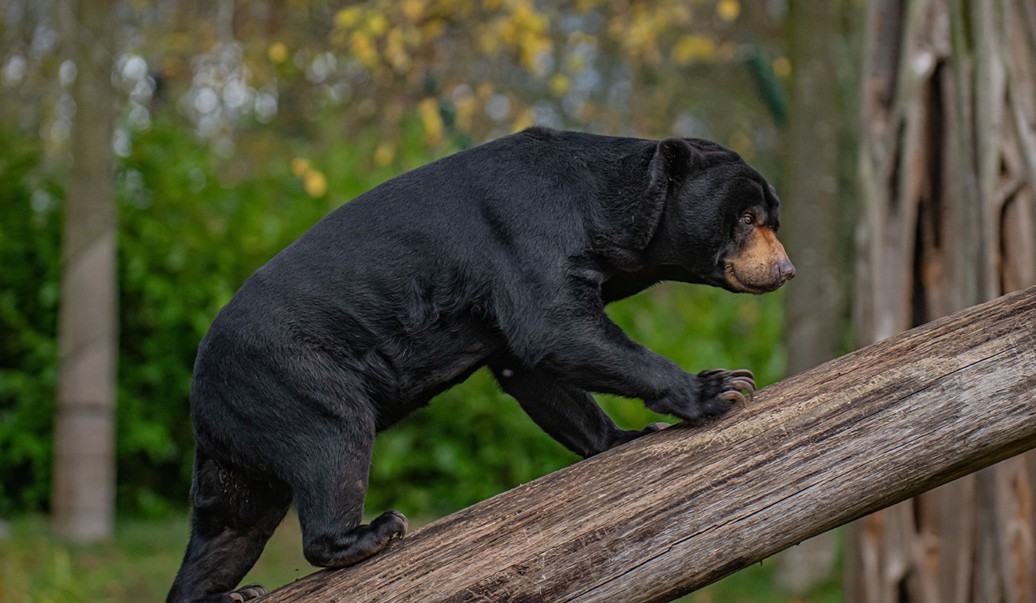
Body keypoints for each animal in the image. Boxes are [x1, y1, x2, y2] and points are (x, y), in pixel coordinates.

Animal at [166, 127, 794, 603]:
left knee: (231, 527)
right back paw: (372, 533)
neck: (610, 211)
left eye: (773, 221)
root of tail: (201, 392)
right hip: (293, 381)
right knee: (335, 443)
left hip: (241, 448)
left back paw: (226, 593)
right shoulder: (527, 238)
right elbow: (554, 328)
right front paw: (719, 387)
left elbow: (534, 372)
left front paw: (626, 436)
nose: (785, 270)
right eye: (746, 218)